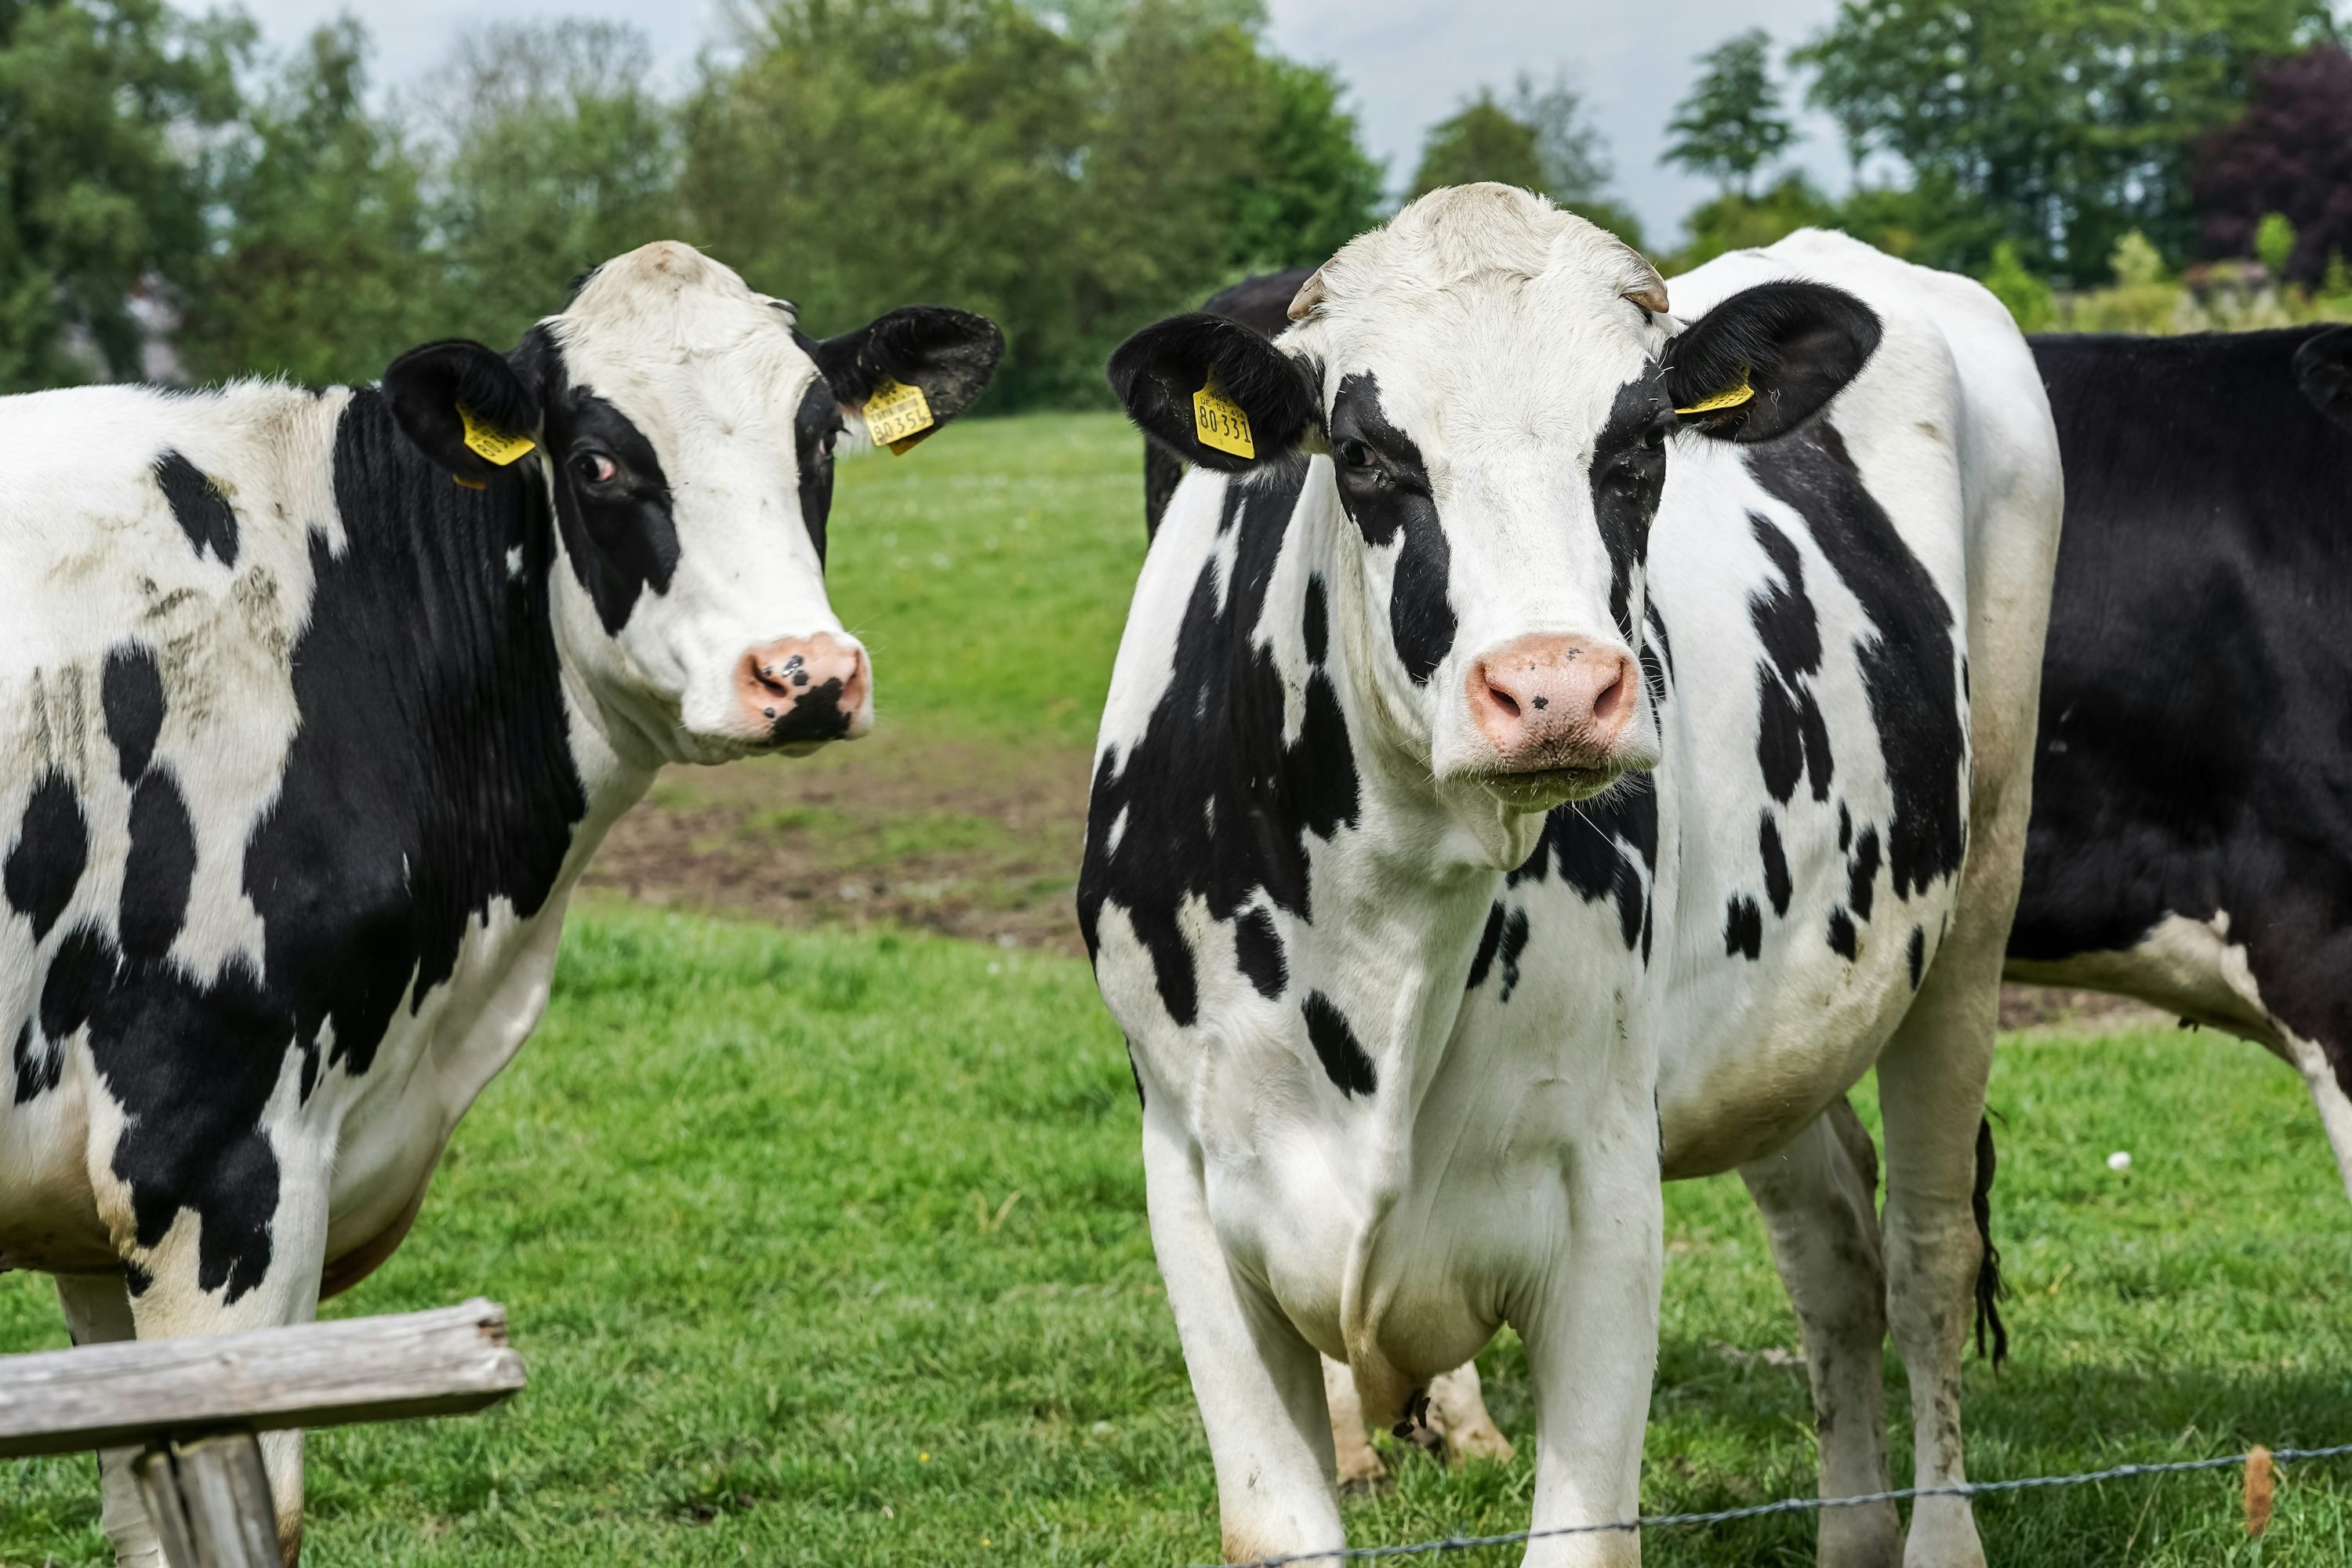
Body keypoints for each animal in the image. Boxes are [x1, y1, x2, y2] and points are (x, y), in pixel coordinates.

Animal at [1081, 186, 2061, 1568]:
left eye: (1639, 445)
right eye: (1366, 453)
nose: (1552, 688)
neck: (1385, 936)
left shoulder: (1607, 1185)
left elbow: (1586, 1533)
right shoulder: (1191, 1175)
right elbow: (1282, 1526)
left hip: (1974, 914)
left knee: (1930, 1255)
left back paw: (1935, 1537)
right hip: (1779, 1020)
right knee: (1835, 1254)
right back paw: (1855, 1531)